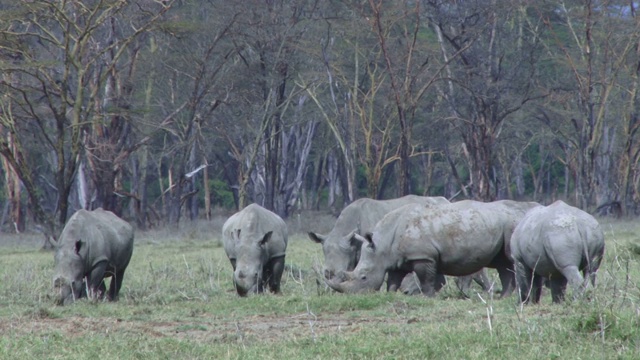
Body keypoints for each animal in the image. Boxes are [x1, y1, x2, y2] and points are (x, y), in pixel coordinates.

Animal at [324, 200, 540, 298]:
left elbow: (425, 278)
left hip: (512, 224)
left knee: (509, 260)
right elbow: (393, 279)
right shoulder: (395, 259)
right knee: (502, 263)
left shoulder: (422, 256)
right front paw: (391, 294)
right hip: (500, 224)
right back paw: (503, 297)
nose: (356, 295)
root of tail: (525, 211)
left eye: (363, 277)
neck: (382, 244)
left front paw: (427, 297)